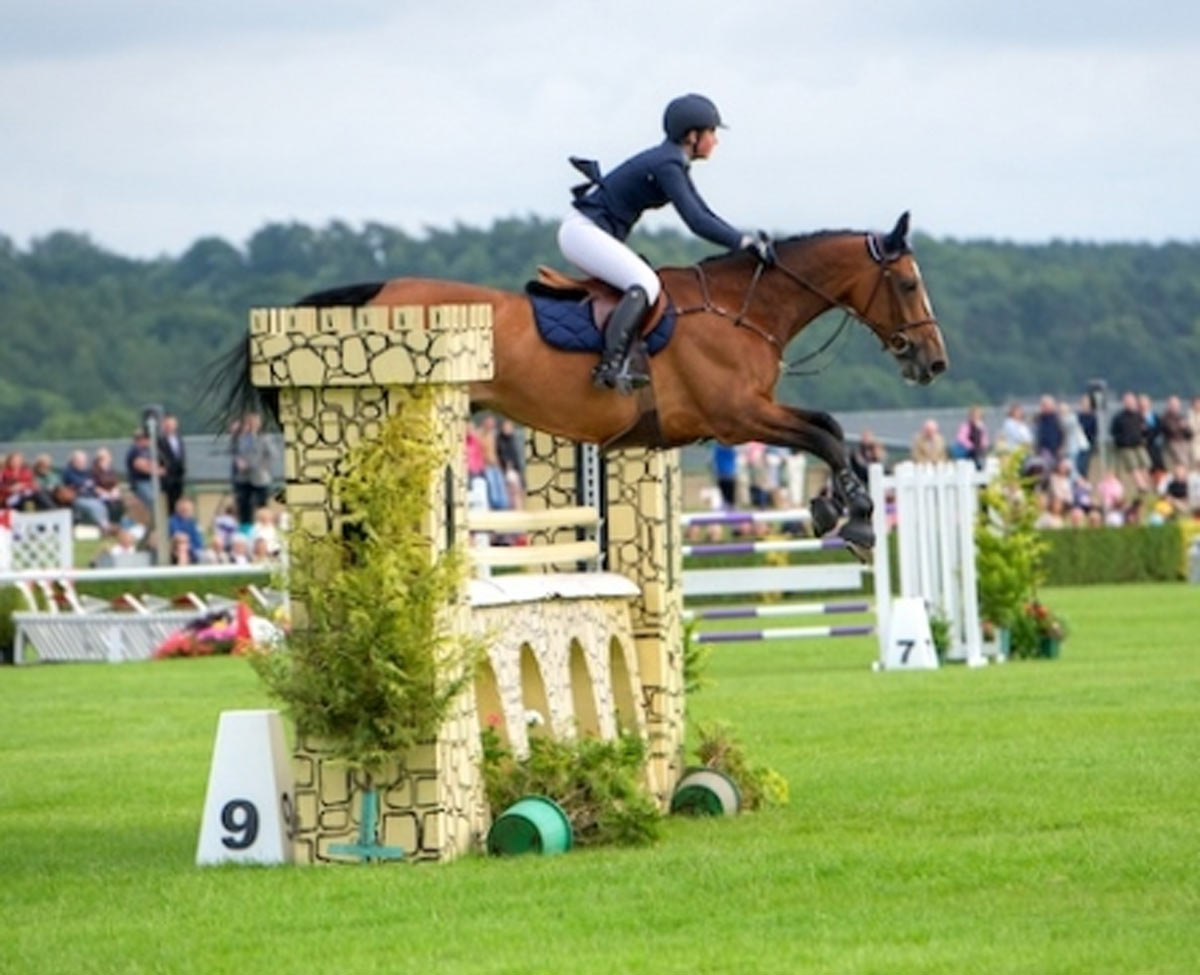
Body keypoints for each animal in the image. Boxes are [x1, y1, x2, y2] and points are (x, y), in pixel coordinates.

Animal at [220, 211, 940, 557]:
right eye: (908, 283)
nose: (933, 362)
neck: (744, 307)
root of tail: (376, 296)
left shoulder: (747, 413)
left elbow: (828, 429)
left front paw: (834, 507)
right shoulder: (737, 417)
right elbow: (827, 433)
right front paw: (855, 517)